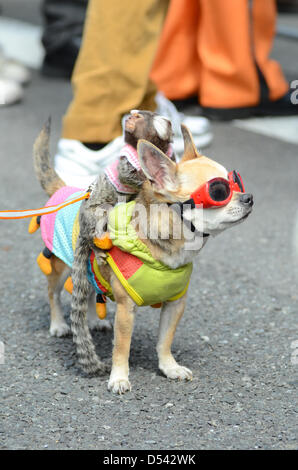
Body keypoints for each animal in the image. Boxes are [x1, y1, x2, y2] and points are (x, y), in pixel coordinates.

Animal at [32, 124, 253, 392]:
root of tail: (63, 190)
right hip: (61, 268)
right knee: (53, 293)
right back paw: (58, 324)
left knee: (89, 293)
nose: (249, 197)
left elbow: (165, 341)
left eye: (236, 183)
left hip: (85, 271)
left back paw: (94, 320)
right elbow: (121, 347)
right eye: (219, 191)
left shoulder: (175, 304)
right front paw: (119, 377)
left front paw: (169, 367)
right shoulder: (126, 310)